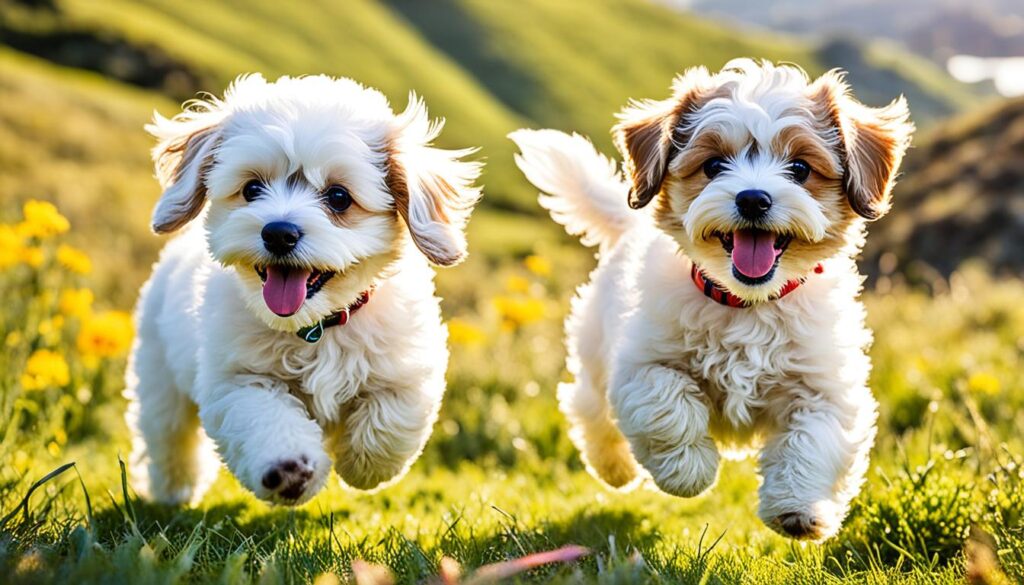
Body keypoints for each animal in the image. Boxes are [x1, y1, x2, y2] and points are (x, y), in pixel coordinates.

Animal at [126, 73, 479, 506]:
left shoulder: (404, 369)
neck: (318, 327)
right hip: (160, 375)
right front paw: (288, 469)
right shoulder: (238, 378)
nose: (279, 232)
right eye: (252, 189)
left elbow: (390, 421)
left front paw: (362, 466)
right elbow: (265, 418)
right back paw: (175, 490)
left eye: (339, 197)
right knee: (169, 436)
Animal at [509, 59, 913, 540]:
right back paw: (614, 467)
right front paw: (688, 471)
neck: (746, 305)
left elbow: (812, 441)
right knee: (587, 405)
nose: (753, 198)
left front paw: (797, 507)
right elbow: (667, 403)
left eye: (799, 168)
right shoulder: (641, 362)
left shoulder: (824, 386)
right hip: (594, 350)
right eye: (715, 164)